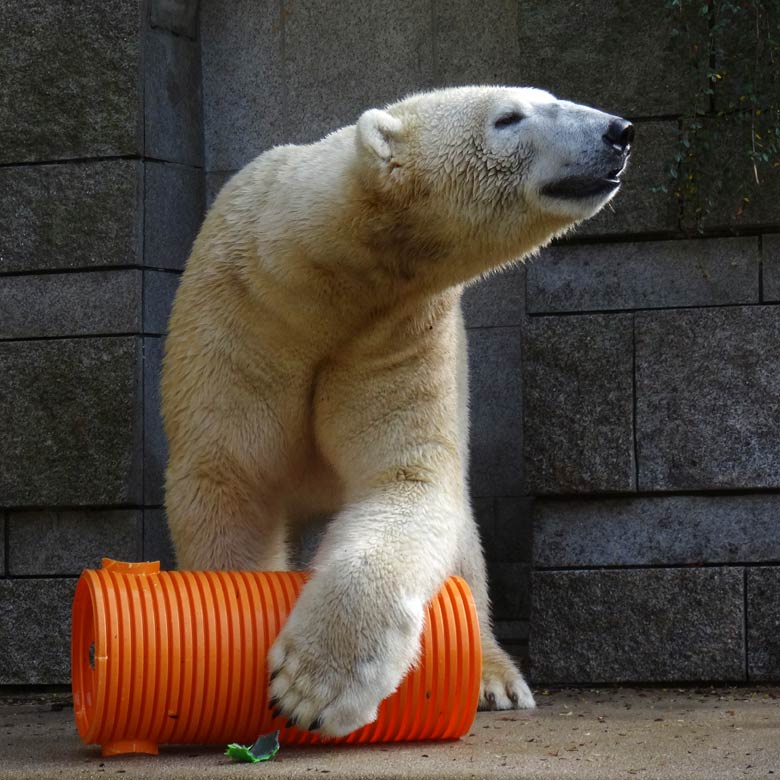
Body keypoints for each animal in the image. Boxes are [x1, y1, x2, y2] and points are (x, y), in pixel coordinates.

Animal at [161, 85, 632, 736]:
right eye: (508, 117)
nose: (619, 132)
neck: (320, 273)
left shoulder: (400, 332)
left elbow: (405, 478)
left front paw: (311, 689)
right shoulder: (241, 321)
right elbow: (228, 479)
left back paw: (494, 677)